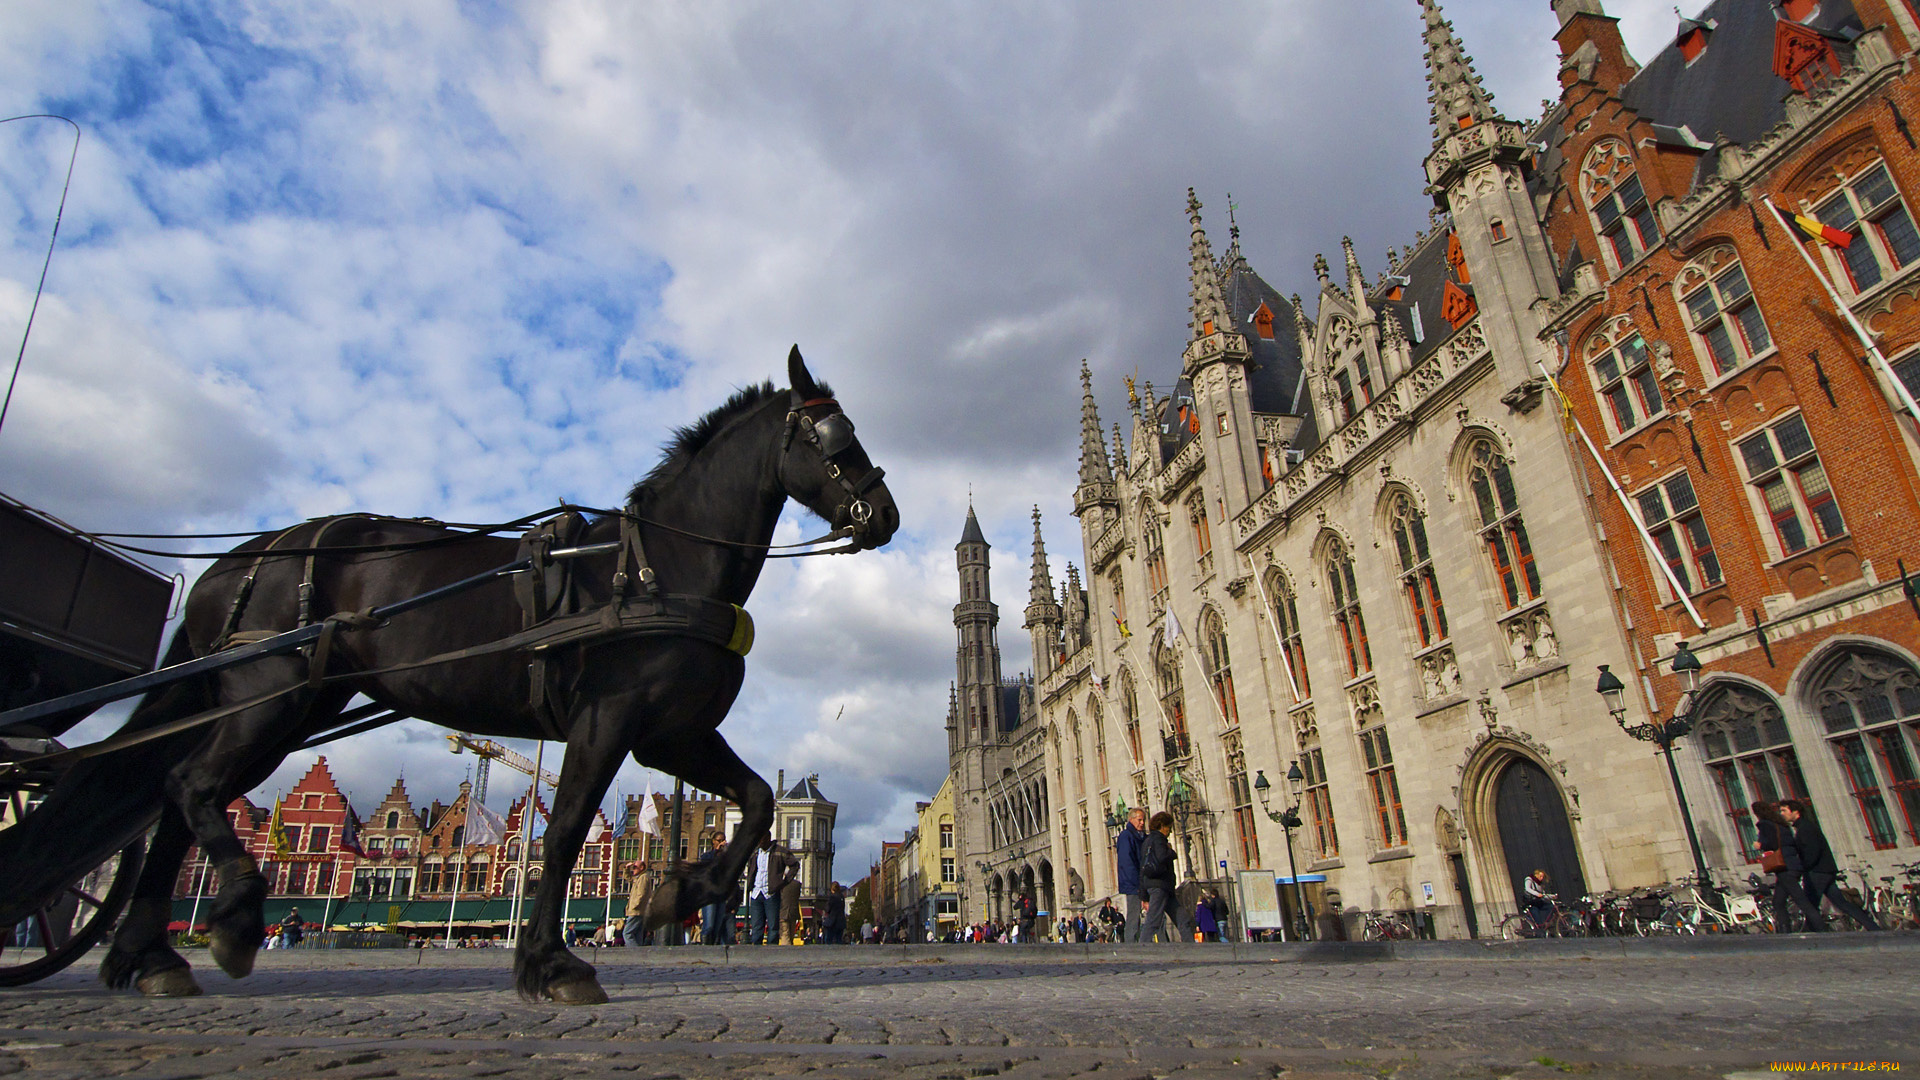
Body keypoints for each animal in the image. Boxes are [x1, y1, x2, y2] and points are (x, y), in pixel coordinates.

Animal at [0, 345, 898, 999]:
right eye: (834, 437)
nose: (885, 515)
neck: (659, 566)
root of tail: (235, 561)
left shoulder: (671, 733)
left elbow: (754, 802)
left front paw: (680, 892)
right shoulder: (608, 722)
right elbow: (565, 831)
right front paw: (551, 964)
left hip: (290, 705)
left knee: (173, 796)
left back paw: (154, 959)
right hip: (265, 702)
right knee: (188, 786)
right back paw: (231, 924)